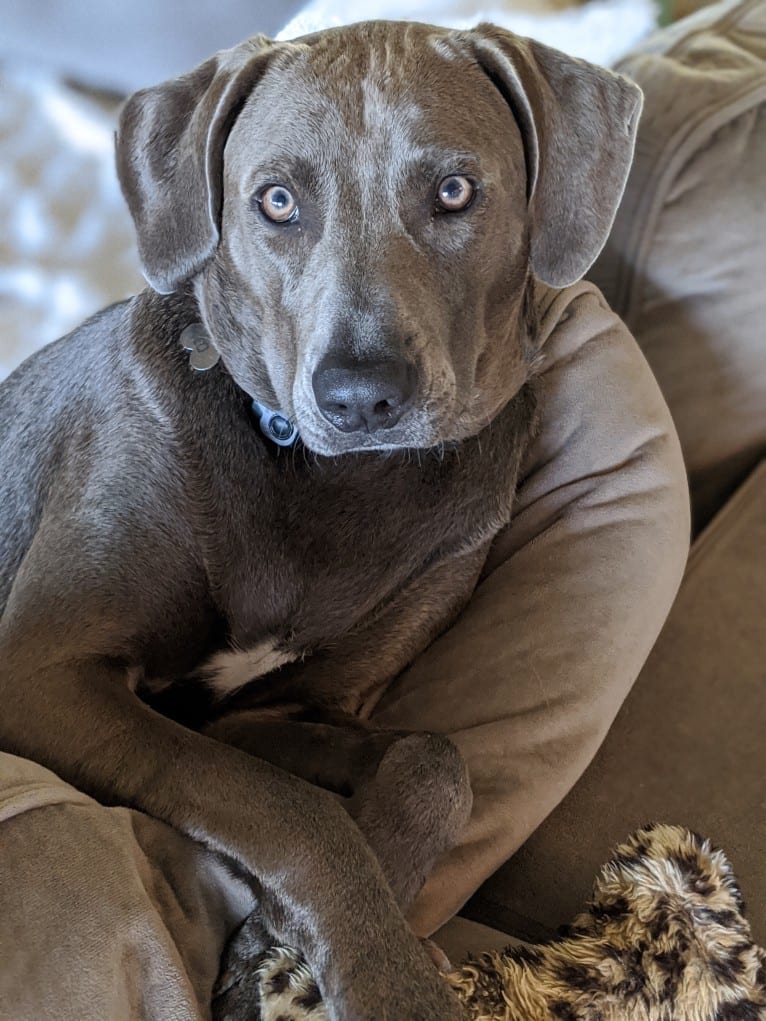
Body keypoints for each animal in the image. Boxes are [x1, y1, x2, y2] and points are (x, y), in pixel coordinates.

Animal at [0, 17, 641, 1021]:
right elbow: (288, 807)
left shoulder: (271, 708)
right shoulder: (41, 671)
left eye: (455, 191)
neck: (336, 482)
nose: (359, 394)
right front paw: (388, 980)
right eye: (275, 201)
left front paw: (271, 944)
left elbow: (432, 764)